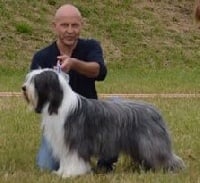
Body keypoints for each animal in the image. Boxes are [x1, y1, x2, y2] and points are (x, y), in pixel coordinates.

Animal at [21, 68, 184, 177]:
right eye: (30, 78)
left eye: (36, 81)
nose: (23, 88)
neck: (58, 103)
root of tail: (154, 110)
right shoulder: (64, 142)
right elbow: (66, 159)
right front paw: (61, 172)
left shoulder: (75, 141)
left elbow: (73, 158)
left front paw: (71, 173)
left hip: (151, 143)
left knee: (164, 156)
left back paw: (173, 170)